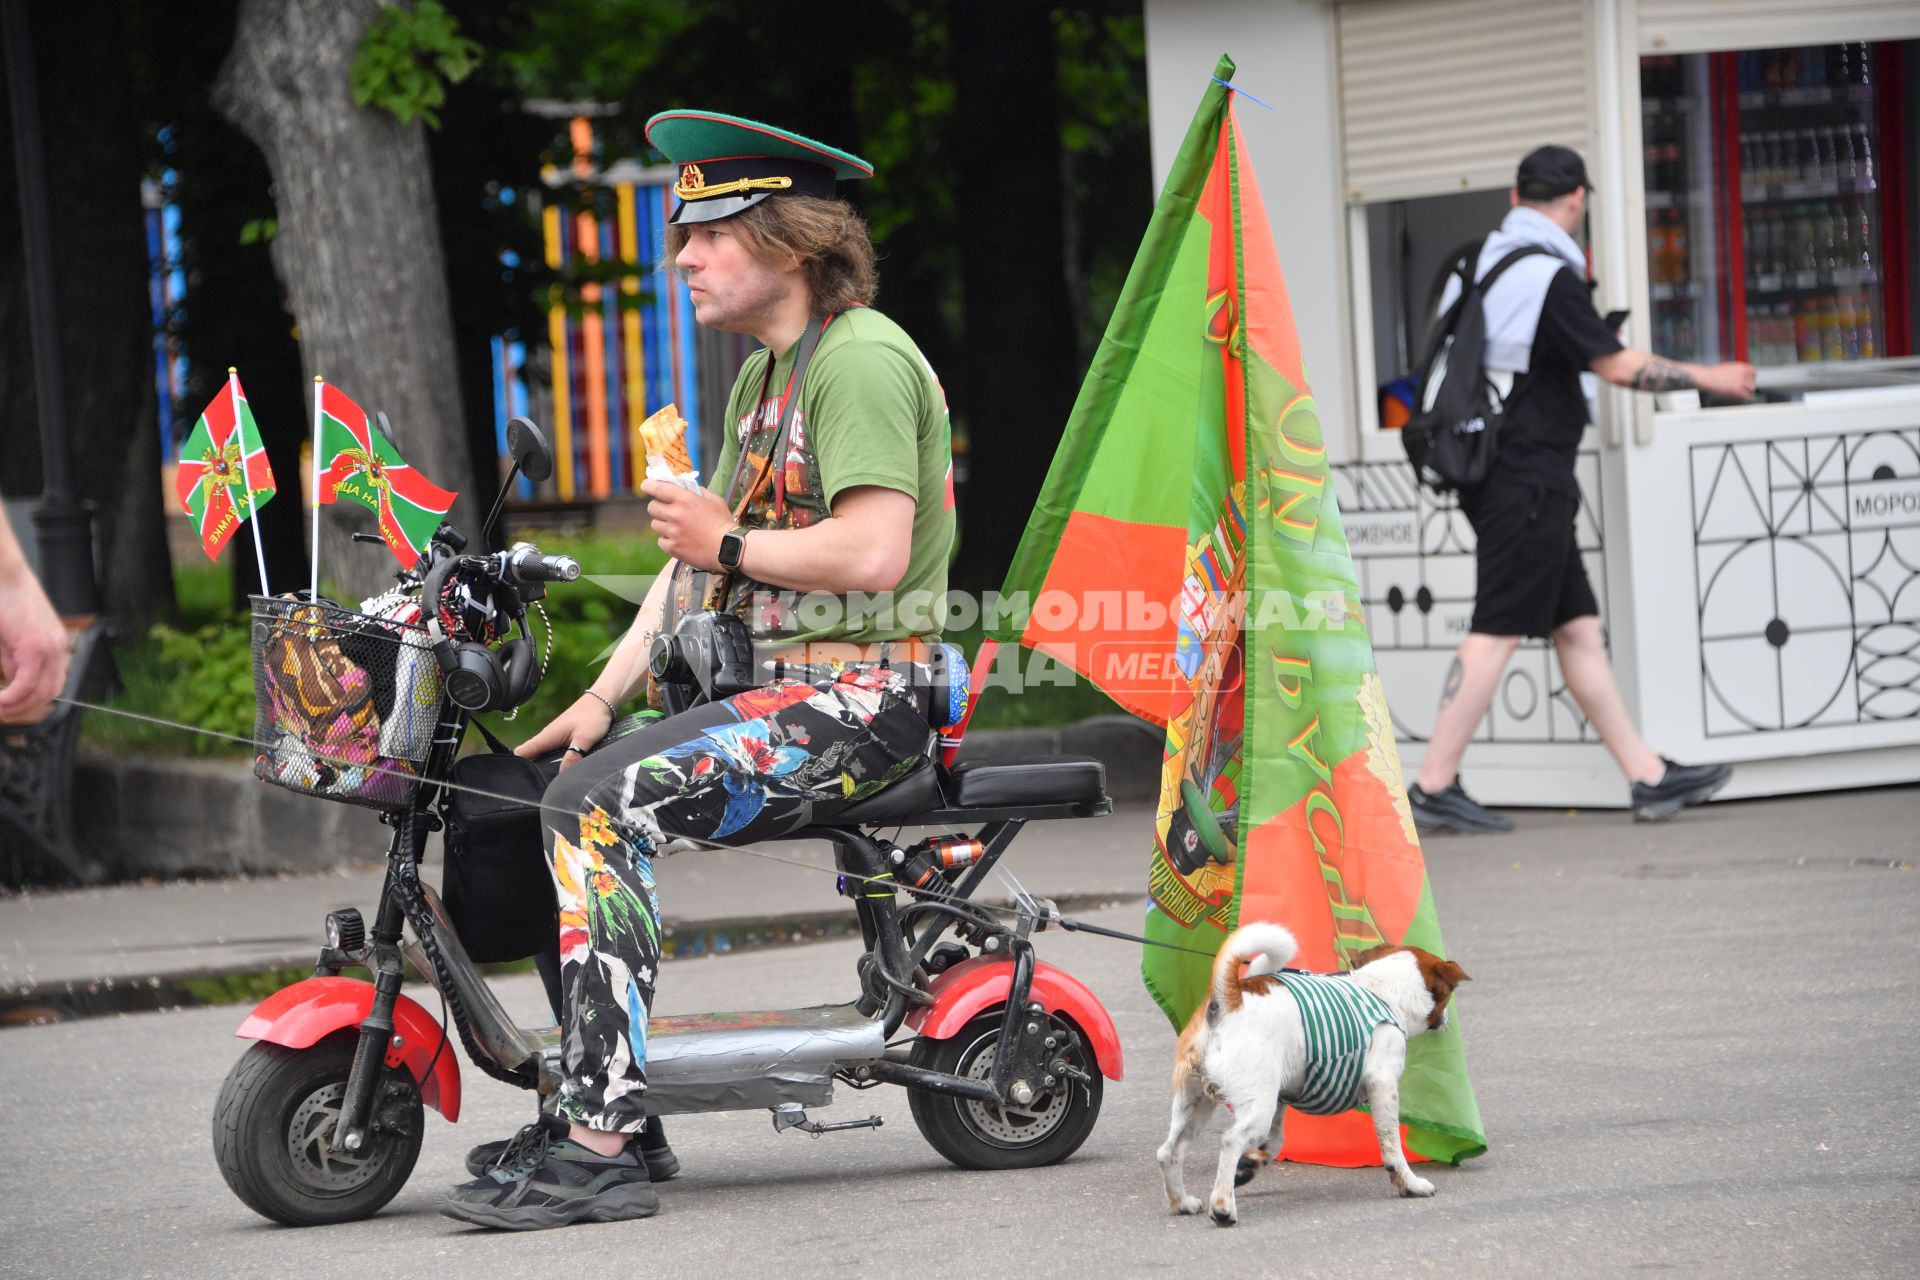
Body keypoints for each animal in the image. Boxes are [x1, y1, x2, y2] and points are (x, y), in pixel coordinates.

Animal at [1152, 924, 1466, 1228]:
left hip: (1195, 1104)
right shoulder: (1384, 1086)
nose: (1447, 1020)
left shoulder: (1280, 1099)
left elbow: (1274, 1143)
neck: (1382, 990)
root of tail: (1227, 1001)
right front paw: (1409, 1184)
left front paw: (1248, 1168)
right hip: (1256, 1106)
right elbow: (1392, 1146)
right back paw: (1223, 1209)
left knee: (1169, 1151)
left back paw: (1182, 1203)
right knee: (1230, 1141)